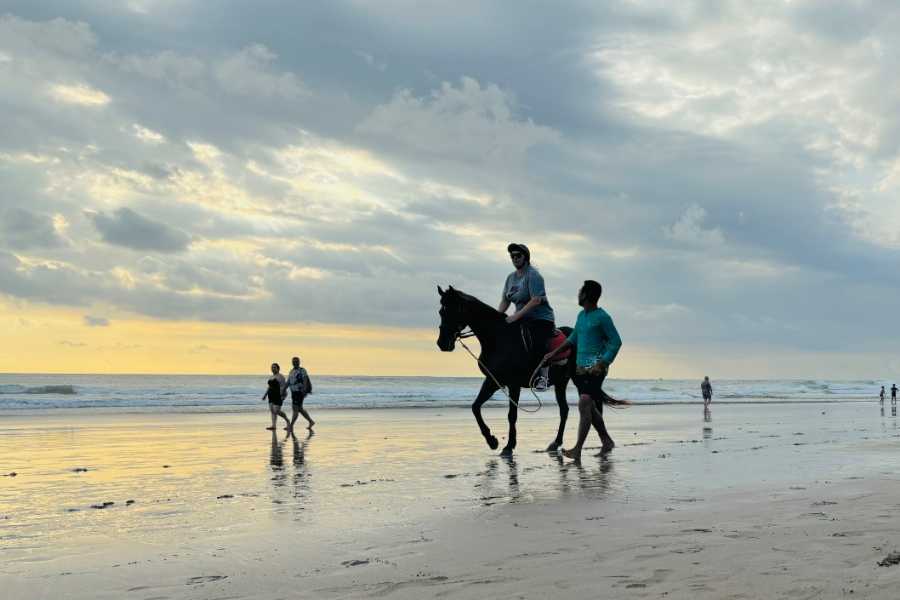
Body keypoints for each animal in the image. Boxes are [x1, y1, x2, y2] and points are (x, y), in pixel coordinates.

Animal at [434, 284, 620, 454]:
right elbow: (475, 407)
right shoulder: (493, 381)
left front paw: (508, 446)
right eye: (441, 312)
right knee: (565, 410)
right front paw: (492, 441)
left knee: (594, 405)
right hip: (561, 382)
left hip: (581, 380)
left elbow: (511, 415)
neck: (498, 338)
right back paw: (556, 443)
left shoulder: (513, 384)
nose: (442, 343)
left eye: (452, 310)